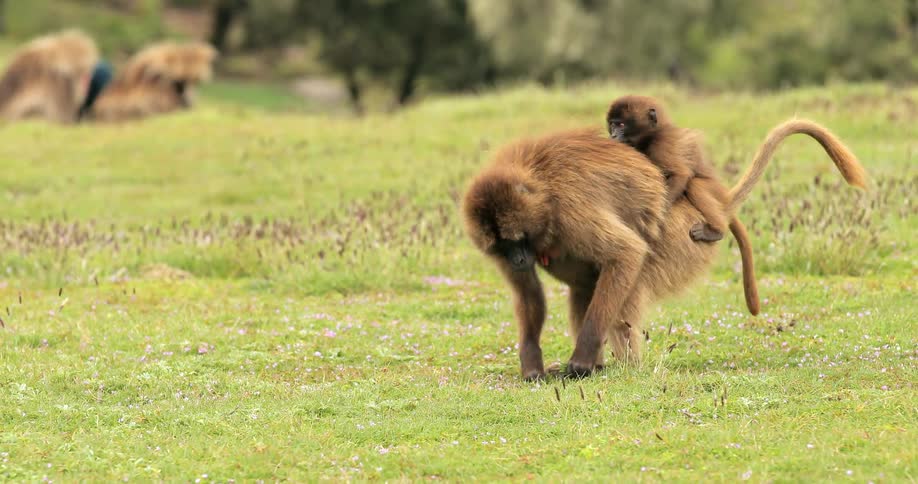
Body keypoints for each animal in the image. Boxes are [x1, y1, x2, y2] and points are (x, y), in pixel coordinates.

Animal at [462, 120, 866, 380]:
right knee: (584, 289)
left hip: (679, 238)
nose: (518, 259)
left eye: (518, 239)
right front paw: (532, 364)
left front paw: (581, 361)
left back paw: (617, 369)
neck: (541, 190)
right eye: (502, 246)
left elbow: (625, 253)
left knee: (620, 290)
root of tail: (710, 207)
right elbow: (528, 293)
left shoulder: (572, 209)